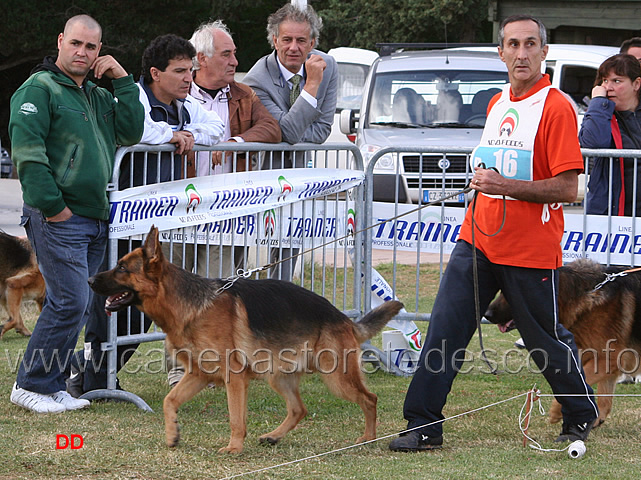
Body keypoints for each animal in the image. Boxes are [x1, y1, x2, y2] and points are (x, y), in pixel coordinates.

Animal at [88, 227, 402, 452]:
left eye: (122, 268)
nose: (90, 280)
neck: (189, 306)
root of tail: (344, 318)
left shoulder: (234, 377)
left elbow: (236, 418)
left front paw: (234, 448)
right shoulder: (199, 374)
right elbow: (169, 400)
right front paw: (173, 434)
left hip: (336, 377)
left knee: (370, 399)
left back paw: (368, 437)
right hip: (279, 377)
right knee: (299, 409)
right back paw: (273, 437)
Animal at [484, 258, 640, 428]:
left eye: (509, 293)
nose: (487, 315)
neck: (585, 294)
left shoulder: (607, 358)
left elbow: (581, 383)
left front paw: (556, 412)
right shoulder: (606, 362)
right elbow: (604, 396)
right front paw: (595, 419)